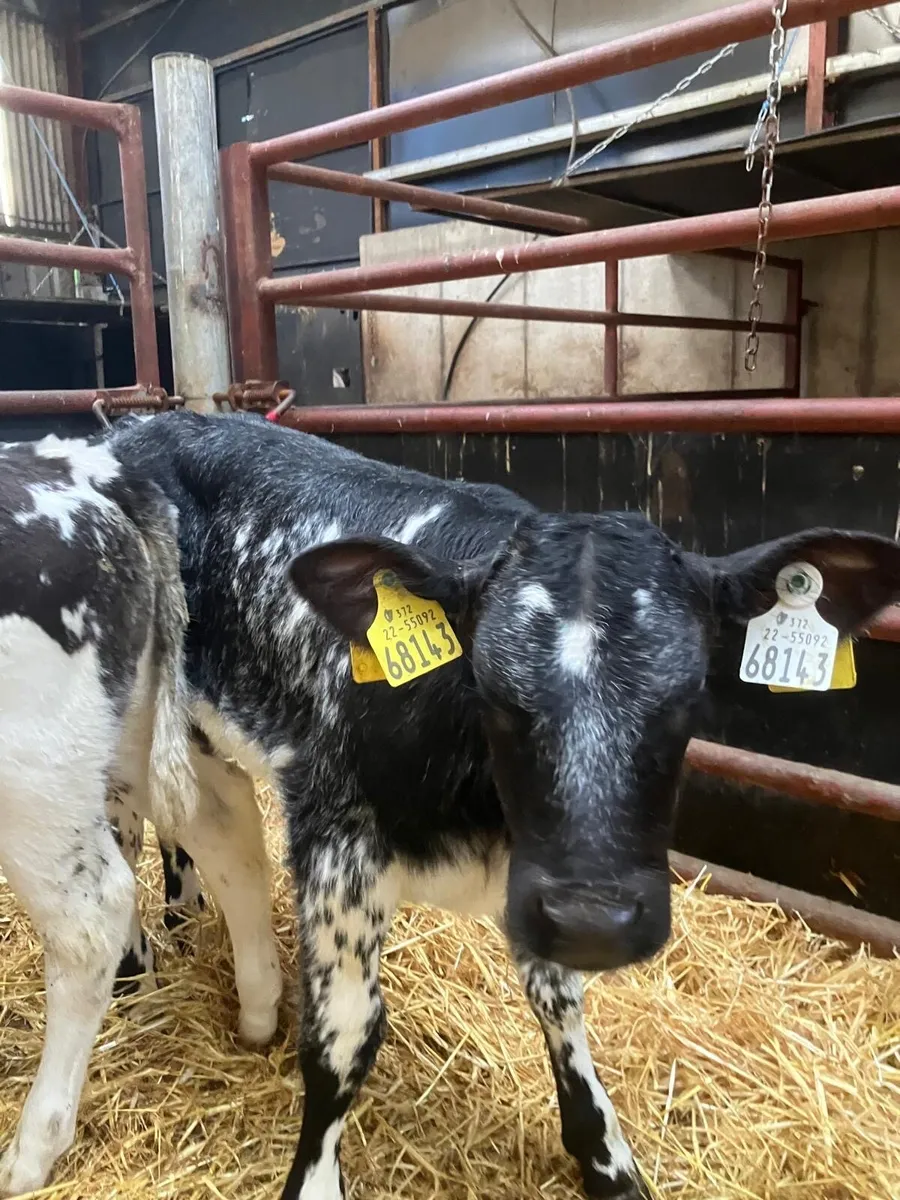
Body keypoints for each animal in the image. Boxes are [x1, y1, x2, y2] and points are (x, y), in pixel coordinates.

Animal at [0, 434, 279, 1198]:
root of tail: (97, 472)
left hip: (31, 773)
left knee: (91, 917)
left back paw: (32, 1149)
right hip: (125, 732)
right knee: (223, 823)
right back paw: (259, 1009)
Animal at [108, 409, 900, 1200]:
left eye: (687, 698)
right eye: (492, 692)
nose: (595, 923)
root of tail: (144, 421)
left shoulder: (539, 875)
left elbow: (561, 1006)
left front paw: (606, 1160)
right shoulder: (338, 838)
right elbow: (343, 1039)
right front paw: (314, 1180)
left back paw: (187, 921)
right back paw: (135, 977)